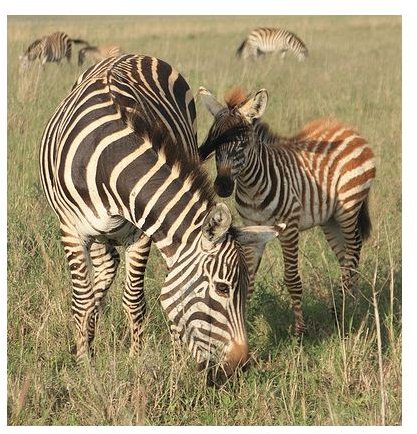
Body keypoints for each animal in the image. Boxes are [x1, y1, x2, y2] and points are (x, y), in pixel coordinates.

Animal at [39, 52, 282, 374]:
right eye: (221, 288)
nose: (240, 364)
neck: (111, 162)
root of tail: (131, 54)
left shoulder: (141, 233)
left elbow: (134, 301)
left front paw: (135, 359)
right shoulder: (71, 231)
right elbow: (82, 301)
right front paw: (85, 364)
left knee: (119, 267)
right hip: (96, 231)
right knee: (102, 274)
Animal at [197, 85, 374, 336]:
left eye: (243, 143)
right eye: (214, 142)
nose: (222, 186)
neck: (252, 187)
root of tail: (347, 127)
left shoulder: (289, 227)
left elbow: (292, 279)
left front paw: (299, 332)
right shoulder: (252, 226)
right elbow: (248, 278)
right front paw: (245, 325)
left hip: (348, 207)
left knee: (354, 250)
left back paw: (340, 311)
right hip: (330, 219)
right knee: (345, 257)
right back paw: (351, 307)